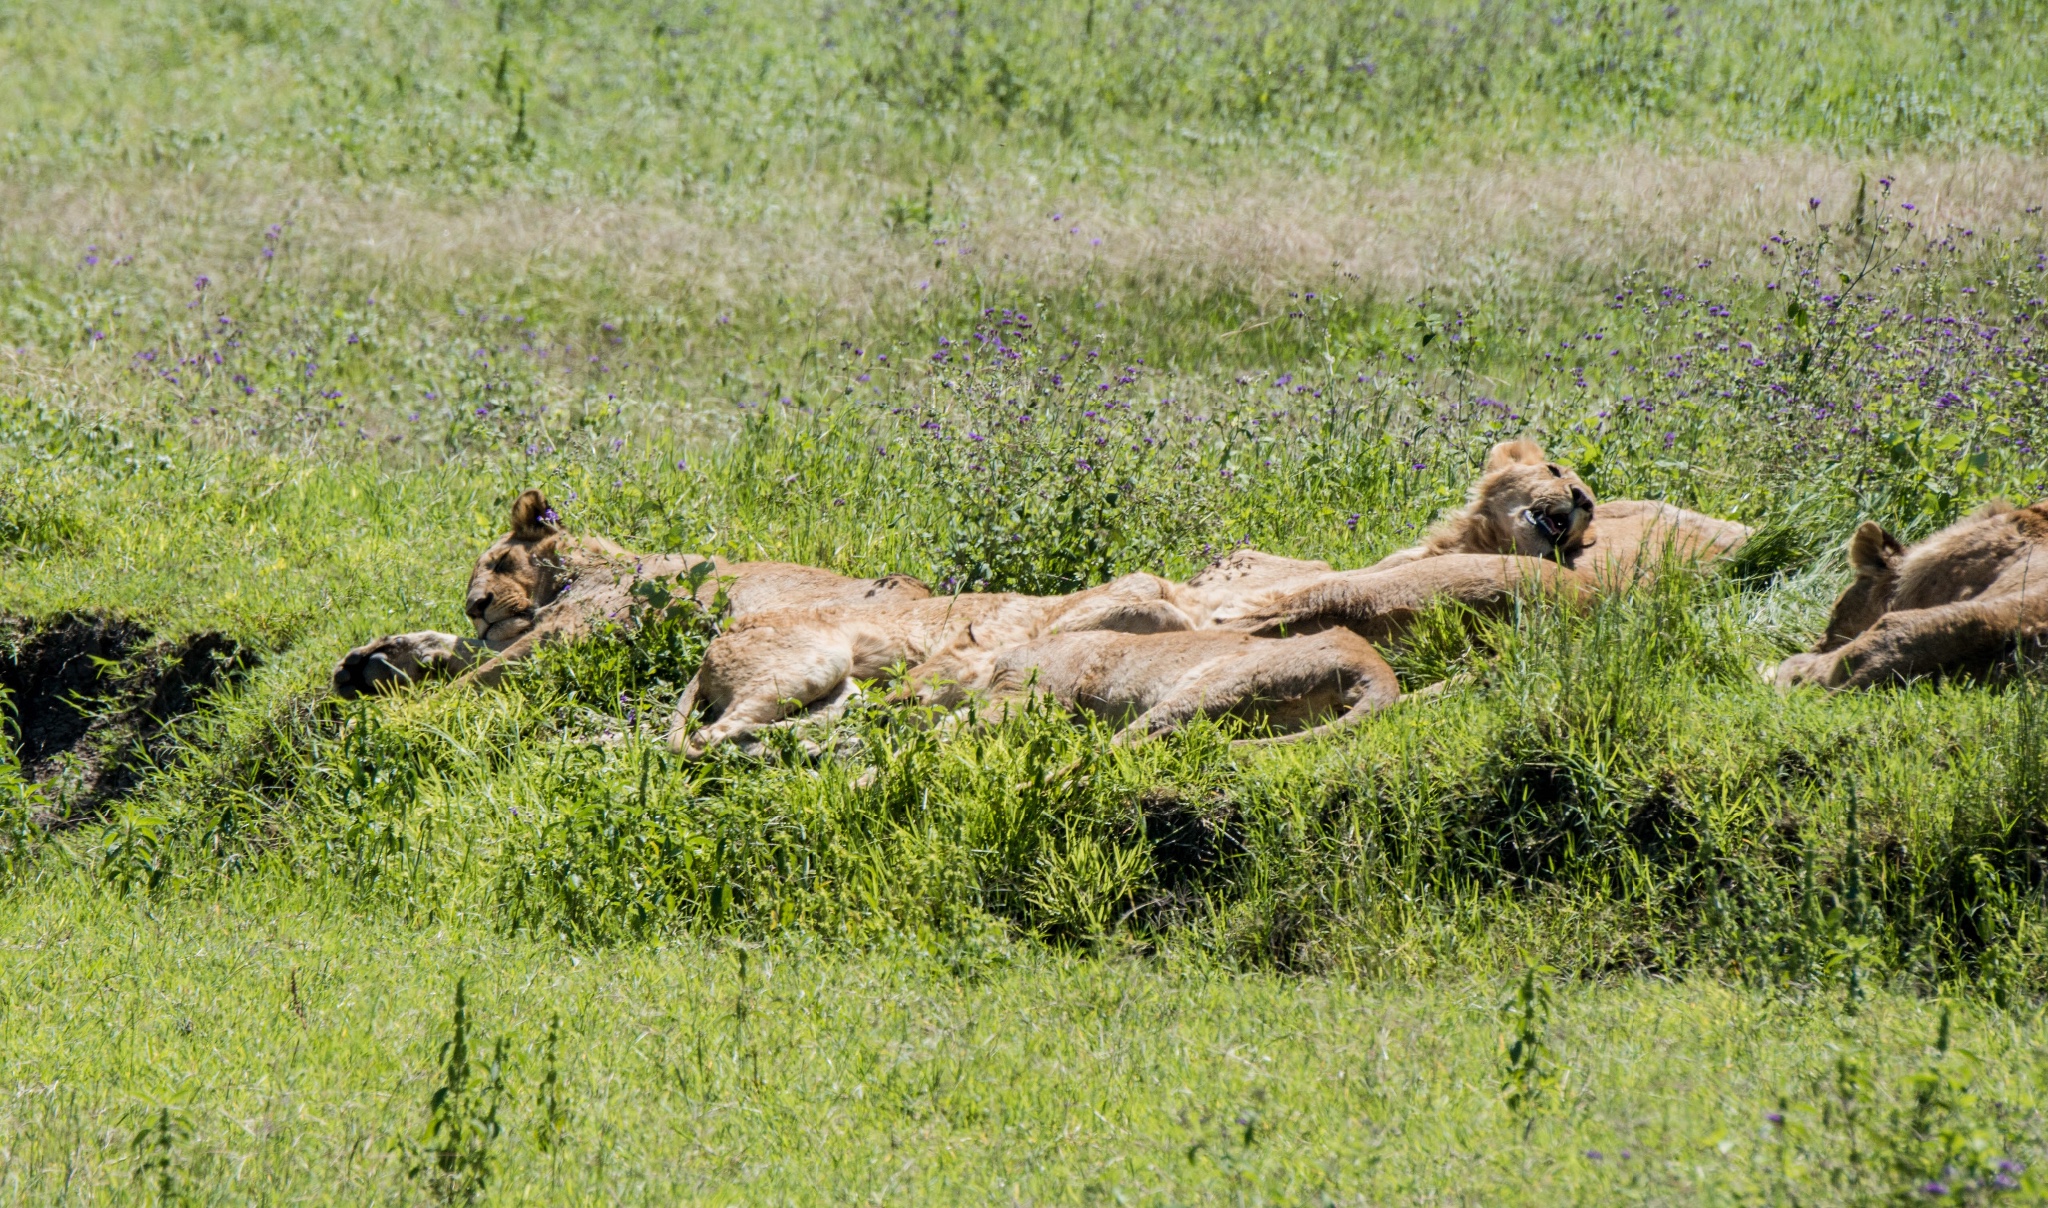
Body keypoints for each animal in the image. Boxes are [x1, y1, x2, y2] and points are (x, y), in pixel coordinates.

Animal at [333, 489, 929, 700]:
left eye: (500, 563)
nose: (475, 608)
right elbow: (465, 649)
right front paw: (372, 662)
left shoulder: (572, 632)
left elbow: (475, 676)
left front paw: (407, 710)